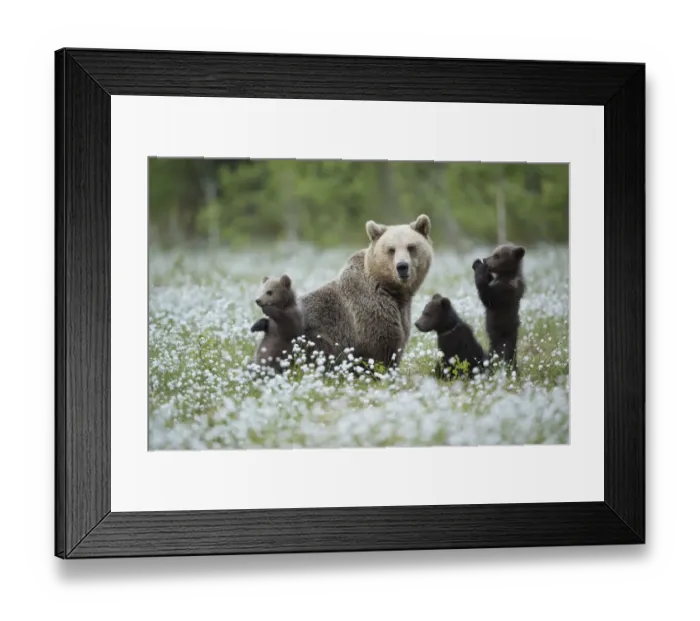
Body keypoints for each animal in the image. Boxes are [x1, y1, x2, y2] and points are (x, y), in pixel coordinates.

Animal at [297, 214, 433, 369]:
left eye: (411, 247)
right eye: (391, 249)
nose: (402, 266)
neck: (392, 291)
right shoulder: (369, 314)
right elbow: (382, 349)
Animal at [471, 242, 526, 371]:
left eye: (497, 255)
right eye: (494, 253)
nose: (485, 259)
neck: (505, 275)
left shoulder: (506, 291)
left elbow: (488, 298)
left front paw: (479, 269)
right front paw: (477, 263)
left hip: (503, 339)